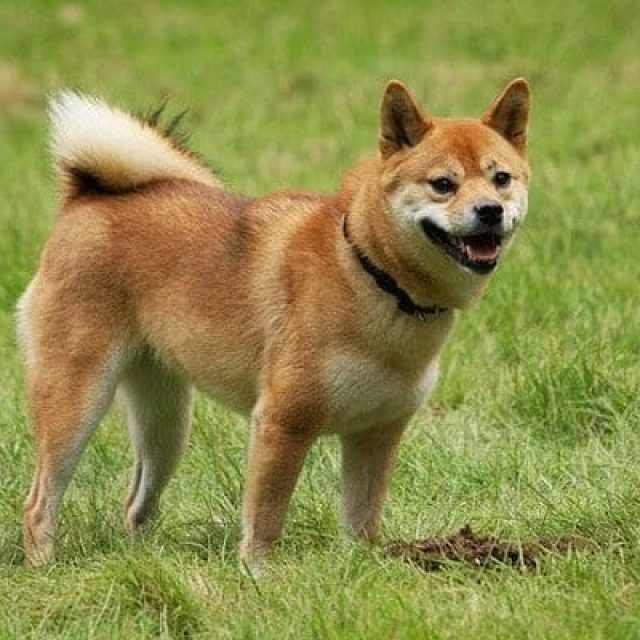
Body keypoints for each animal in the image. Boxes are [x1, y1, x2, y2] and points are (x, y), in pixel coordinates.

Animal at [18, 78, 530, 565]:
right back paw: (45, 565)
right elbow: (265, 518)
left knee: (136, 503)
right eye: (443, 183)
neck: (371, 274)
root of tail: (86, 197)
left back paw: (141, 559)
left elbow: (362, 522)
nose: (490, 210)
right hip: (77, 400)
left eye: (501, 178)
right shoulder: (283, 423)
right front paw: (259, 575)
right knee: (39, 502)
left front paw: (363, 569)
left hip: (167, 424)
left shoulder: (376, 434)